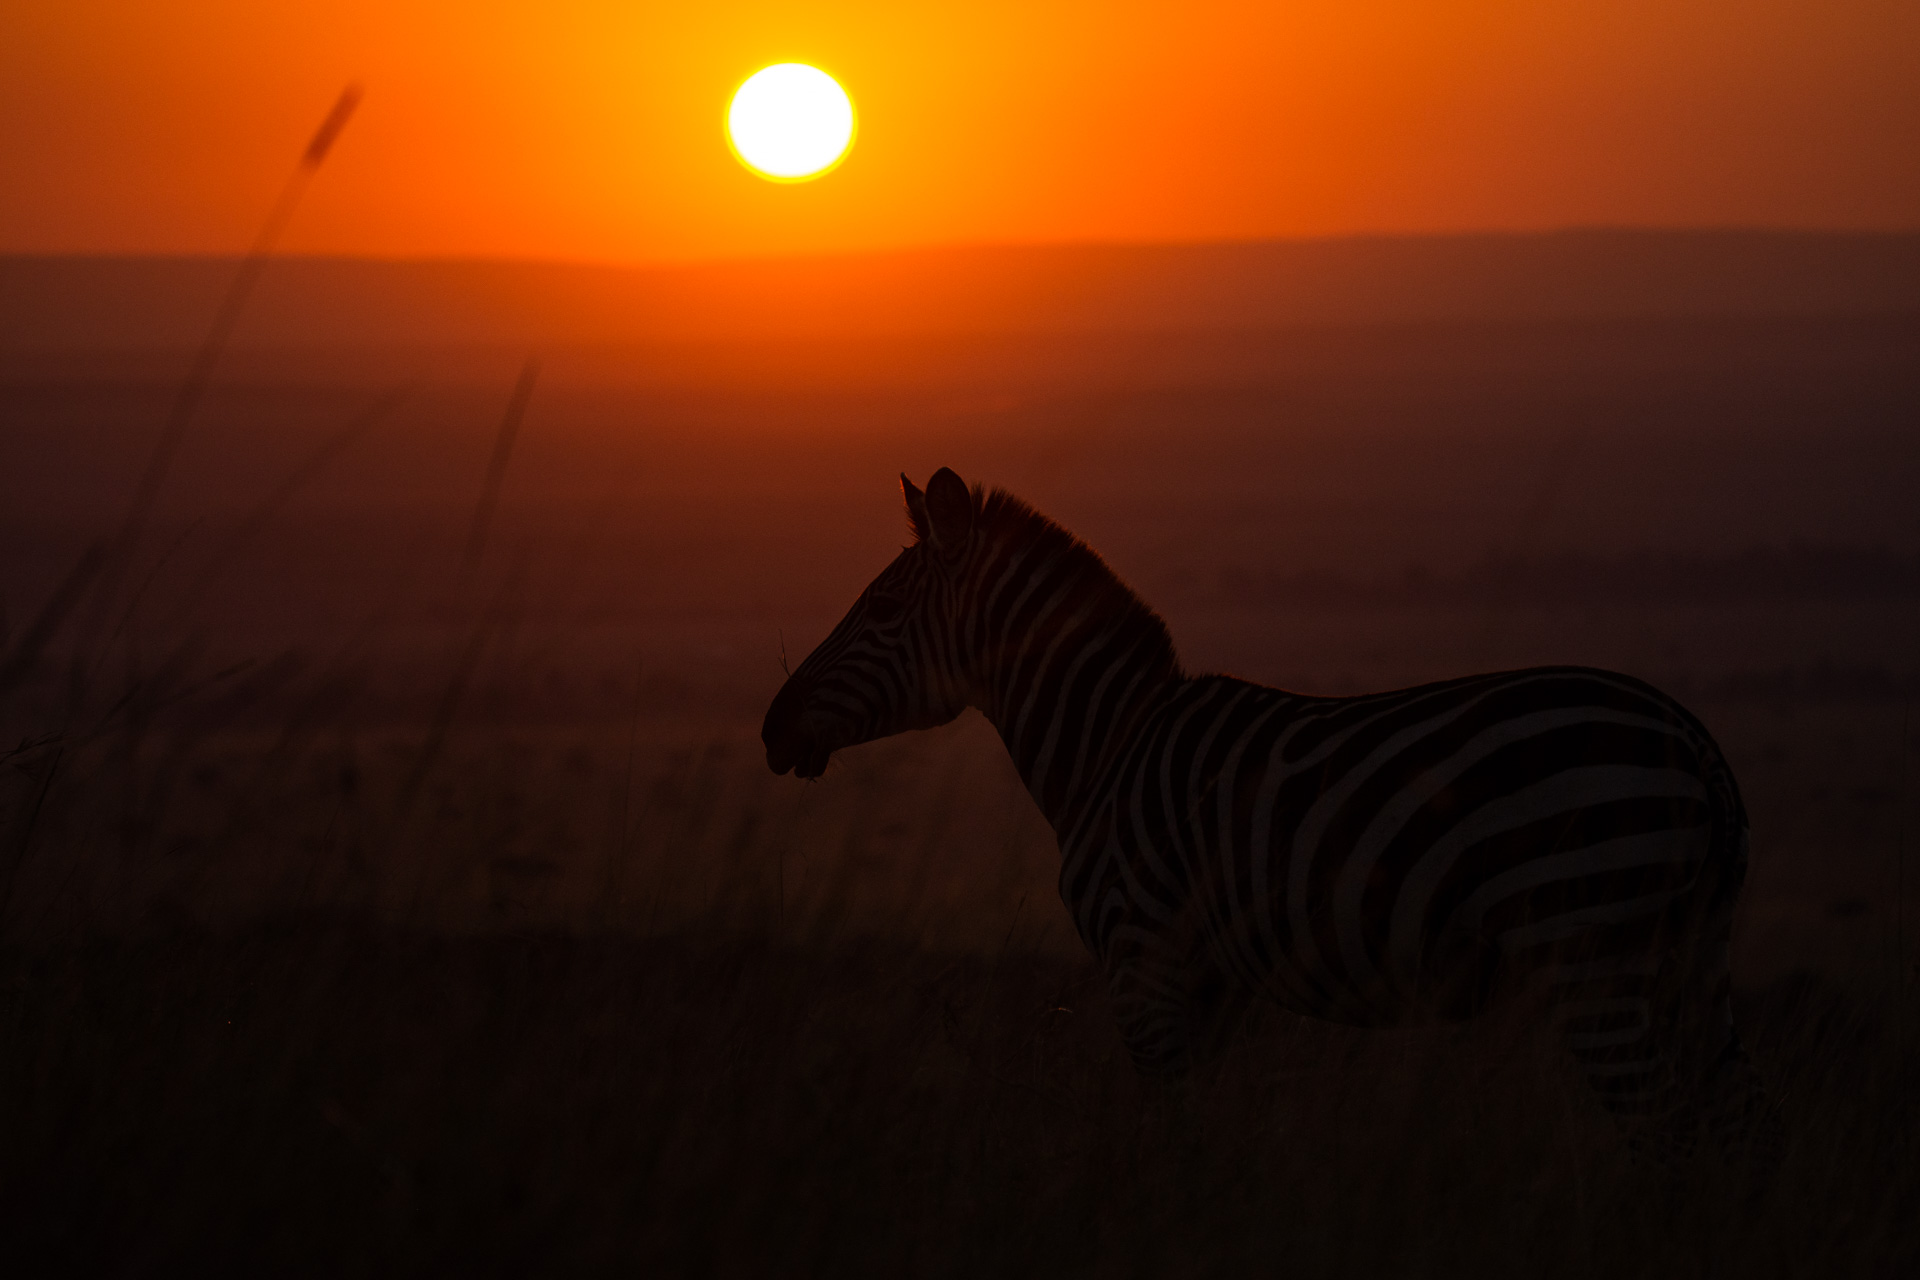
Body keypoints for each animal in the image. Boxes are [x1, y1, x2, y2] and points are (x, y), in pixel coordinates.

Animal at [756, 468, 1774, 1159]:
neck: (1106, 749)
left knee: (1666, 1139)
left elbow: (1177, 1148)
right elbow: (1208, 1146)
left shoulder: (1144, 966)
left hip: (1592, 951)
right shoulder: (1213, 985)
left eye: (882, 607)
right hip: (1687, 957)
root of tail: (1693, 740)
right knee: (1728, 1140)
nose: (771, 726)